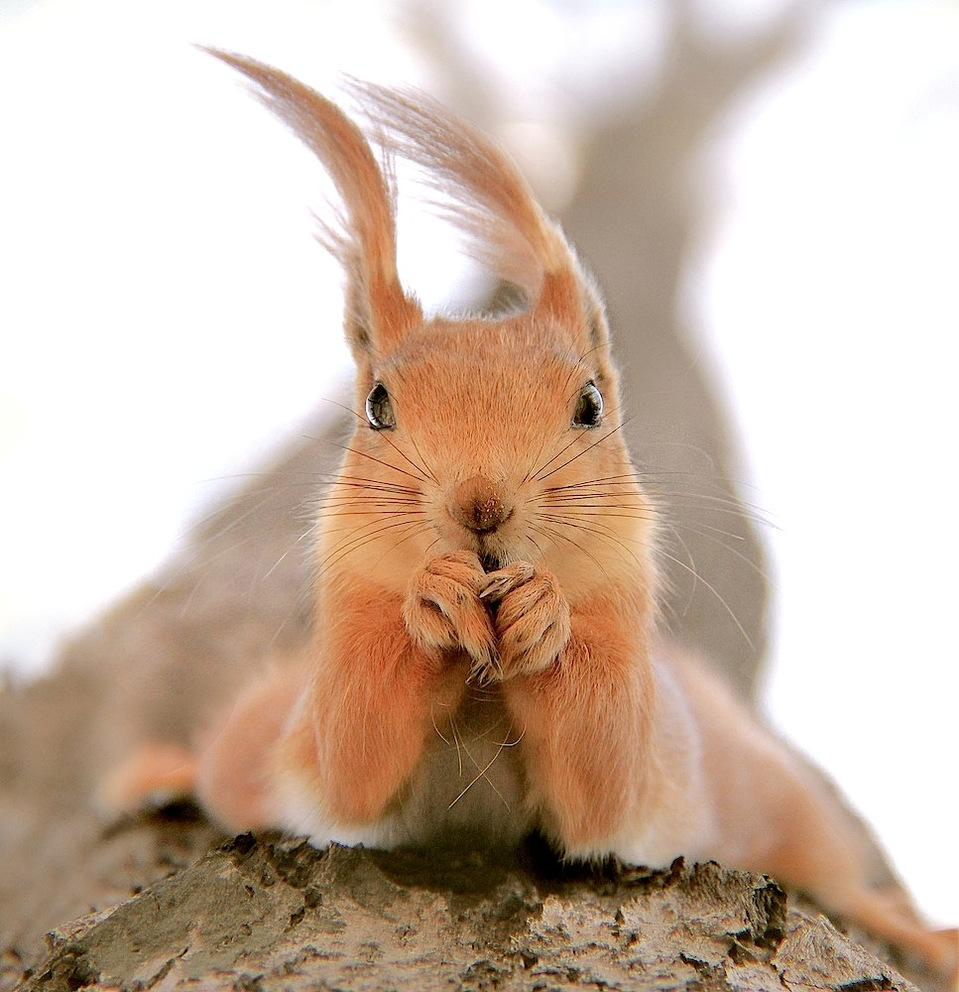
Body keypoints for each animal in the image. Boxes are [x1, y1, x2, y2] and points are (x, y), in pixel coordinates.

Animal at [101, 50, 956, 980]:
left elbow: (604, 763)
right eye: (375, 404)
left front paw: (545, 613)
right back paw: (158, 772)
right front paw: (432, 598)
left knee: (834, 873)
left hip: (765, 790)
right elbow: (350, 744)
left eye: (590, 403)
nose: (480, 505)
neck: (481, 684)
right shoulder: (326, 722)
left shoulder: (637, 739)